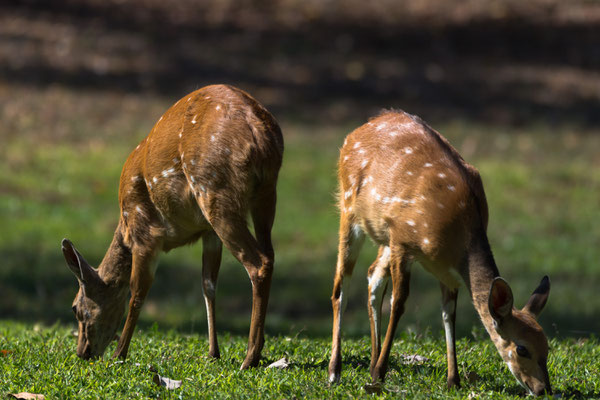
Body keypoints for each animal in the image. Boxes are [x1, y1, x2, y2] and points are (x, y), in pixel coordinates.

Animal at [62, 84, 284, 368]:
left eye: (75, 307)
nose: (83, 352)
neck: (124, 228)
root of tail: (261, 135)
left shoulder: (145, 229)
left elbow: (137, 292)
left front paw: (119, 354)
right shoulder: (207, 232)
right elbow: (208, 284)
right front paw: (213, 352)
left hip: (215, 191)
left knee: (258, 263)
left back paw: (250, 357)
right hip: (265, 195)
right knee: (270, 254)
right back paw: (256, 350)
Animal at [328, 109, 552, 394]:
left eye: (547, 346)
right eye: (522, 348)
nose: (544, 389)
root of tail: (357, 131)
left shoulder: (446, 272)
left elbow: (449, 314)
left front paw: (453, 380)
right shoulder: (403, 242)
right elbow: (399, 303)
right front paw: (381, 373)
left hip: (384, 235)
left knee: (373, 275)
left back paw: (370, 363)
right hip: (349, 210)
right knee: (341, 285)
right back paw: (335, 371)